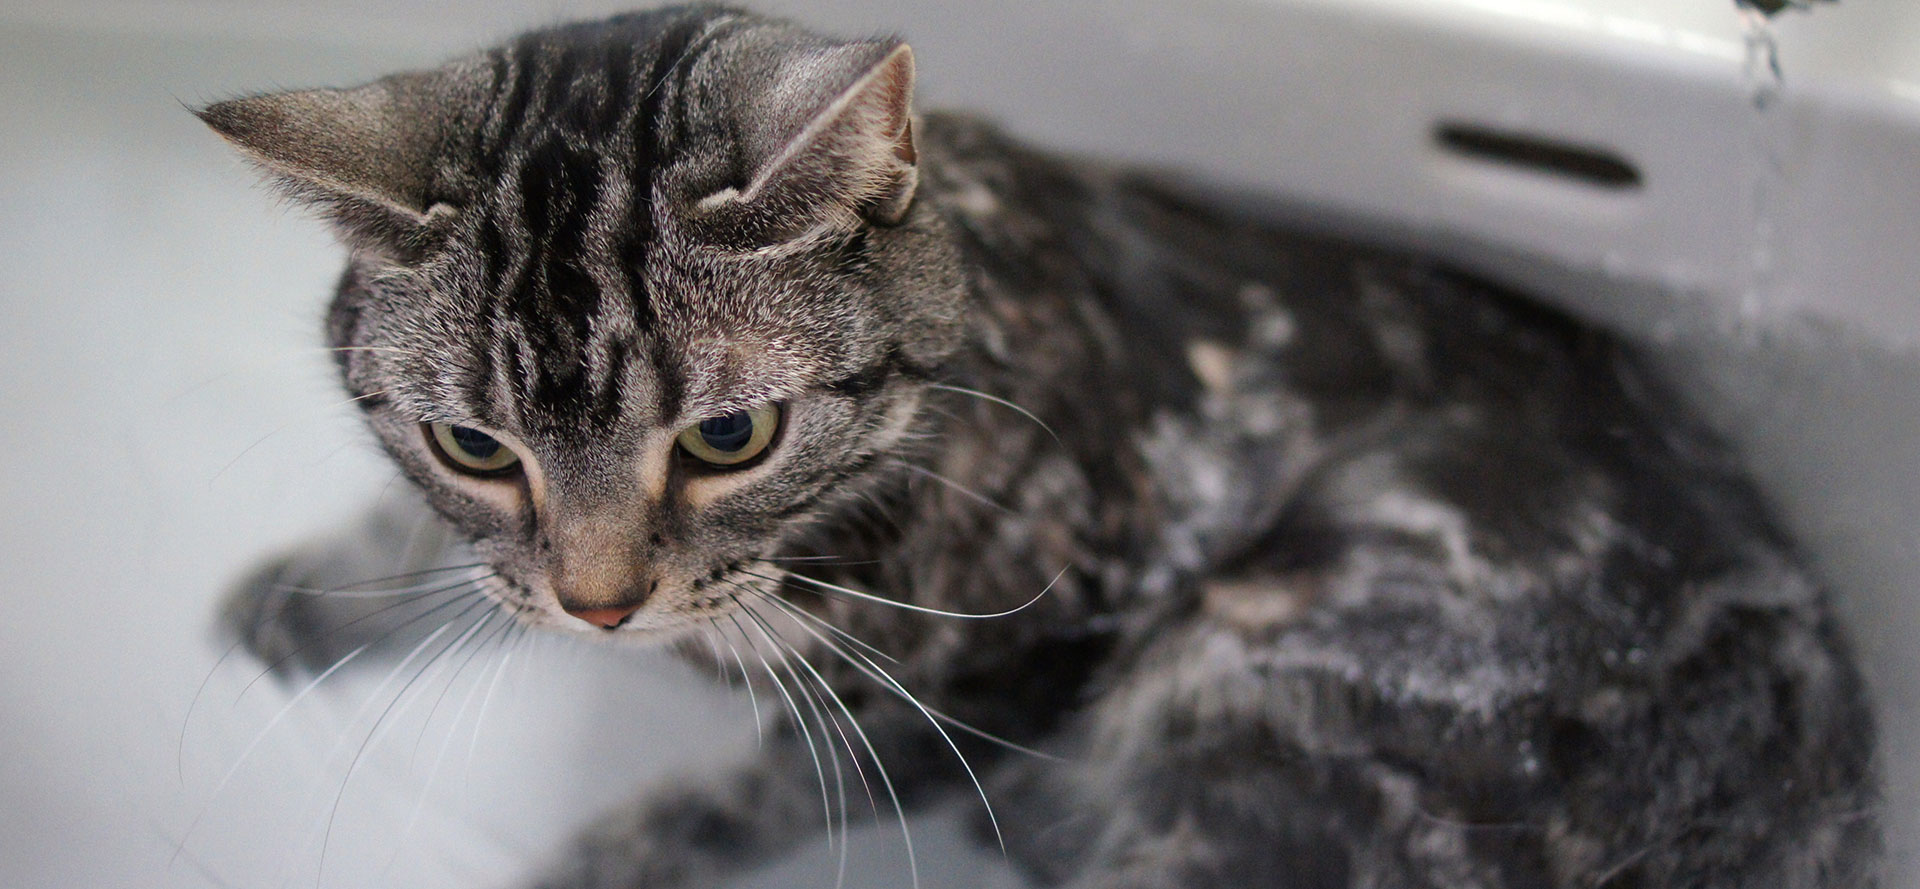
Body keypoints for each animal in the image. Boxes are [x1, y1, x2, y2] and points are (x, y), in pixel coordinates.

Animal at [206, 3, 1873, 887]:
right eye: (474, 443)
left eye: (731, 434)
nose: (601, 606)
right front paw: (320, 588)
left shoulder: (998, 663)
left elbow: (759, 792)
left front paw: (608, 855)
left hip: (1245, 676)